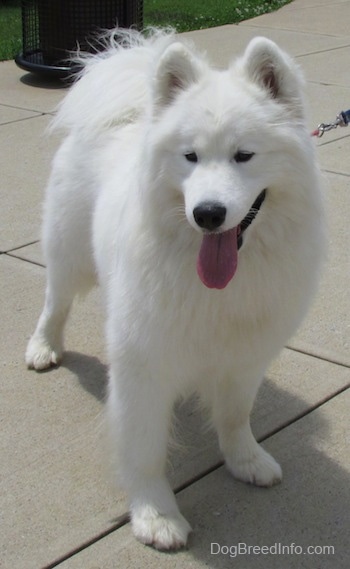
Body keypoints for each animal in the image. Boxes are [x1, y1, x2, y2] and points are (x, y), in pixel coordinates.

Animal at [26, 28, 326, 548]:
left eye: (244, 155)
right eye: (190, 156)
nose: (207, 213)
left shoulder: (246, 353)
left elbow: (235, 415)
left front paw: (246, 460)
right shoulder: (142, 362)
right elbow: (145, 447)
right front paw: (156, 515)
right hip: (69, 254)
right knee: (55, 301)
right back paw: (43, 347)